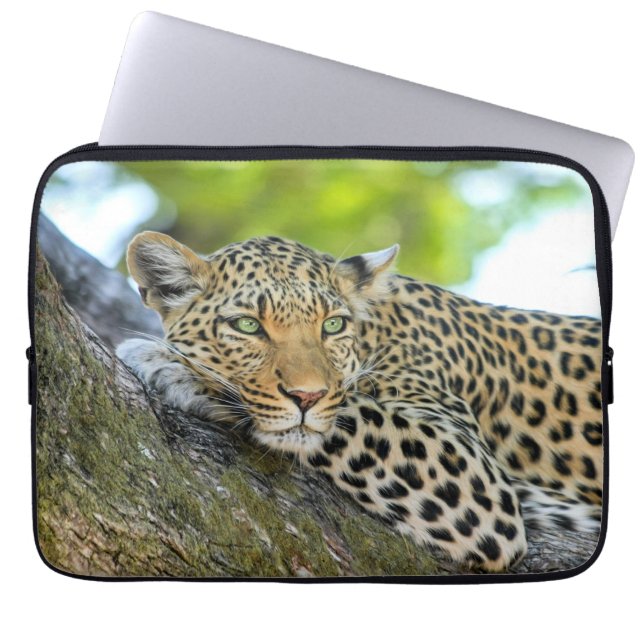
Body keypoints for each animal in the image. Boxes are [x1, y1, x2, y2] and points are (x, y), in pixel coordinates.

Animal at [117, 231, 604, 572]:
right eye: (247, 325)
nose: (307, 396)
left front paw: (174, 366)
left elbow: (349, 413)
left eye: (332, 325)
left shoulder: (475, 477)